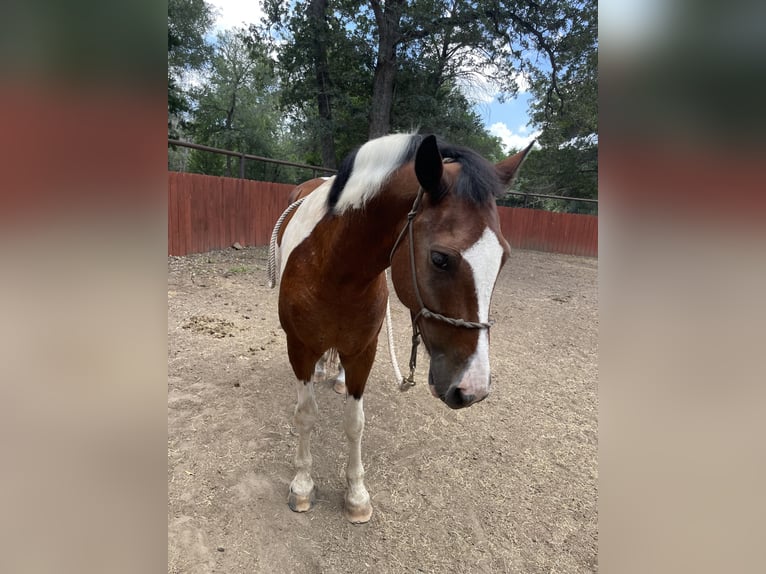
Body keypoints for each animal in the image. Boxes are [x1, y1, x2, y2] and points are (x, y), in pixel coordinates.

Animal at [273, 132, 532, 523]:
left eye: (503, 258)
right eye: (440, 258)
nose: (472, 389)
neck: (332, 272)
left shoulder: (364, 351)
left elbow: (355, 422)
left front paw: (356, 495)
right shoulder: (299, 349)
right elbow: (305, 415)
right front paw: (302, 486)